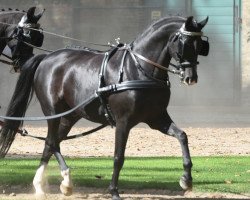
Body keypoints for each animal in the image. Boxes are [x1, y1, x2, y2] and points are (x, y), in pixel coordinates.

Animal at [0, 16, 209, 200]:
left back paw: (46, 185)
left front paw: (186, 180)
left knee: (51, 143)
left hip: (70, 116)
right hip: (53, 112)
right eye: (184, 43)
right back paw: (61, 181)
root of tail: (47, 58)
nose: (191, 77)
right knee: (52, 142)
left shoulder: (157, 118)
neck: (139, 69)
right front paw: (114, 191)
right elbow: (118, 157)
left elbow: (182, 136)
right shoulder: (123, 122)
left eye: (200, 45)